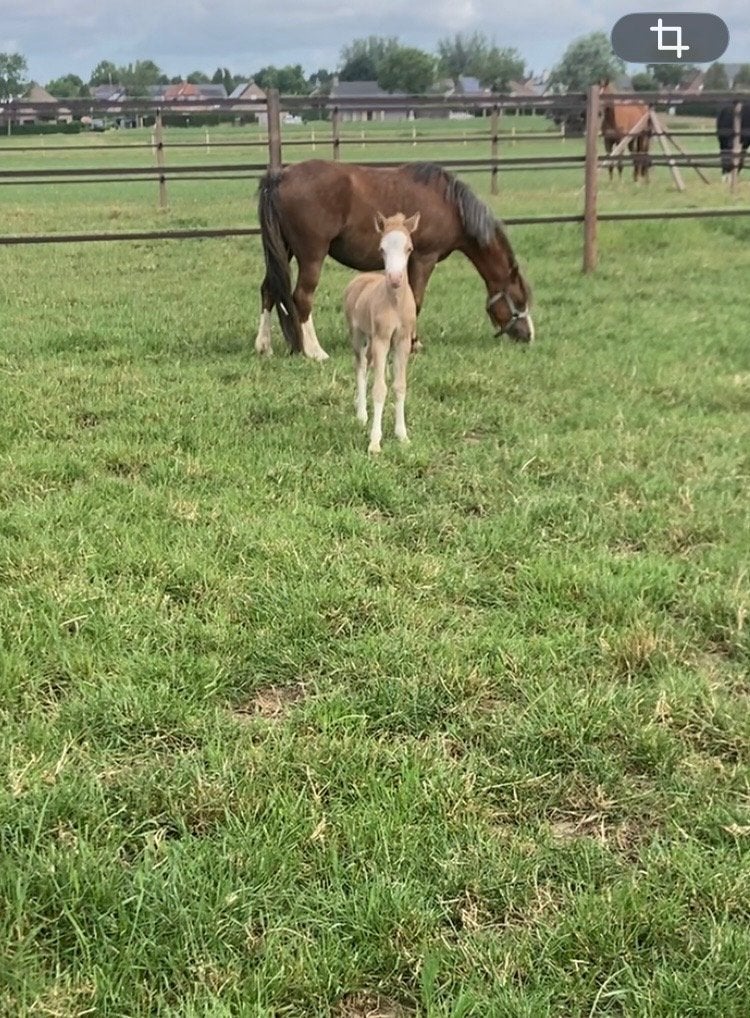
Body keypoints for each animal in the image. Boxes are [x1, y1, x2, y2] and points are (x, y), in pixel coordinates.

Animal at [254, 159, 534, 361]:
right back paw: (314, 351)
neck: (450, 206)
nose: (528, 336)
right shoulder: (425, 258)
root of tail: (280, 177)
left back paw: (264, 346)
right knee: (302, 297)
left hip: (283, 250)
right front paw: (413, 344)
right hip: (312, 254)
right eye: (519, 300)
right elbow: (417, 301)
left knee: (268, 290)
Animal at [344, 212, 419, 454]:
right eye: (381, 248)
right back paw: (361, 414)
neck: (395, 303)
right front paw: (375, 442)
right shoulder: (381, 340)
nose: (395, 279)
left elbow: (399, 386)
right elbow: (379, 389)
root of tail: (360, 278)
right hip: (358, 336)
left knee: (368, 365)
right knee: (360, 367)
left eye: (409, 248)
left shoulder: (403, 341)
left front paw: (402, 436)